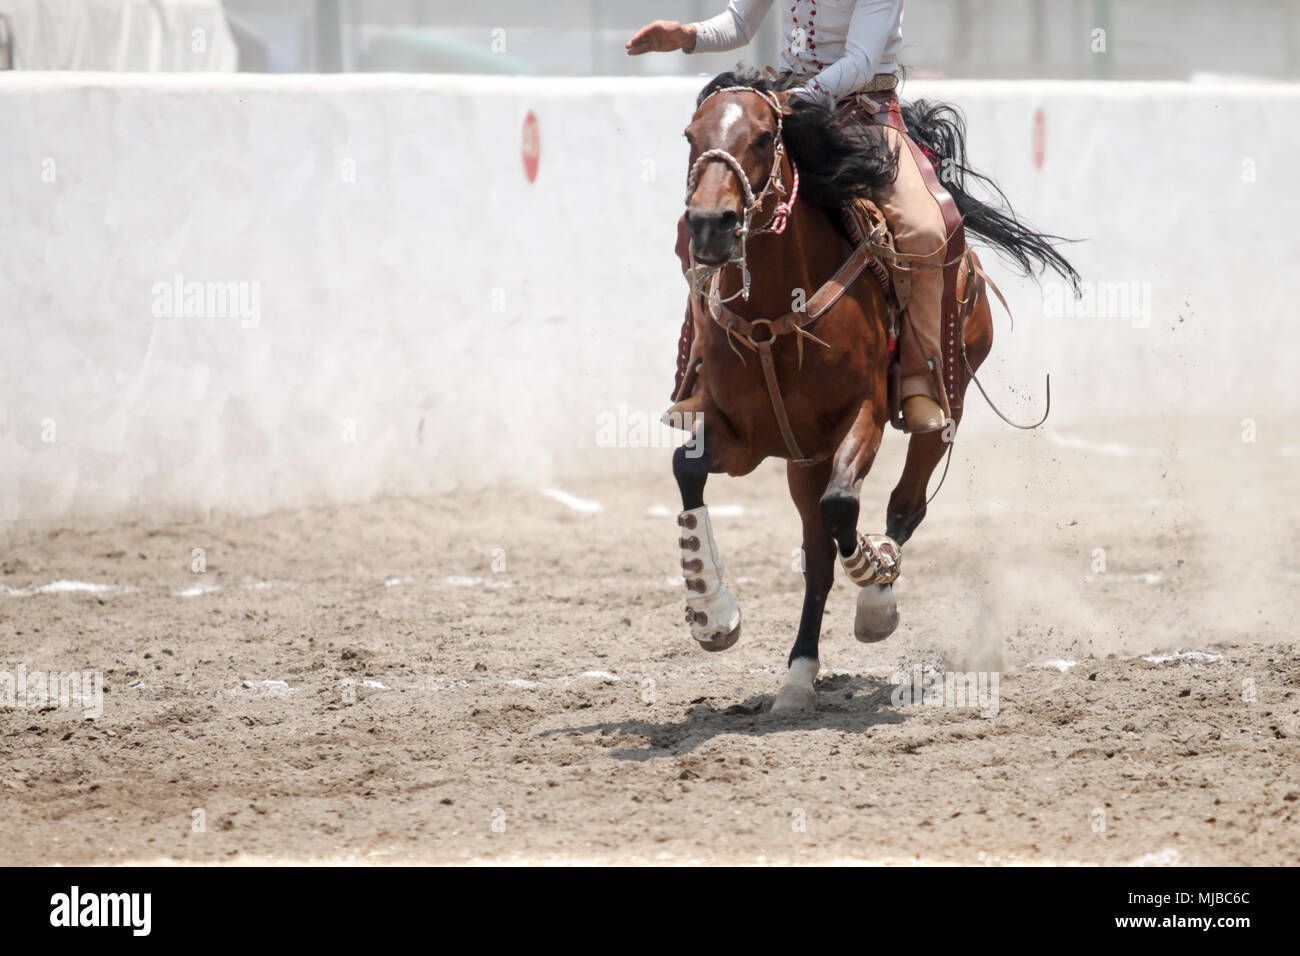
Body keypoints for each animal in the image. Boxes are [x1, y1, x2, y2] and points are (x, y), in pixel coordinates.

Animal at [670, 71, 1079, 713]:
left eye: (763, 138)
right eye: (691, 136)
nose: (710, 225)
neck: (774, 314)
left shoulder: (862, 412)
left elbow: (845, 504)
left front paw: (874, 584)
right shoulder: (740, 436)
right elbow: (686, 468)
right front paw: (713, 616)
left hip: (944, 406)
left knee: (903, 503)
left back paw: (877, 597)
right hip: (803, 460)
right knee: (816, 557)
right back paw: (797, 677)